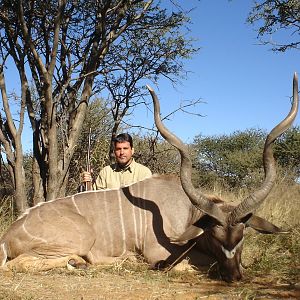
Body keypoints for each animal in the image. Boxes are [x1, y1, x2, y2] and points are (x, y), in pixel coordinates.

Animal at [0, 75, 298, 282]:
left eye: (243, 235)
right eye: (214, 235)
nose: (234, 277)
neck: (188, 213)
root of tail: (8, 235)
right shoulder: (159, 253)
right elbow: (193, 264)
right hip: (80, 238)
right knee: (17, 264)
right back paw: (86, 262)